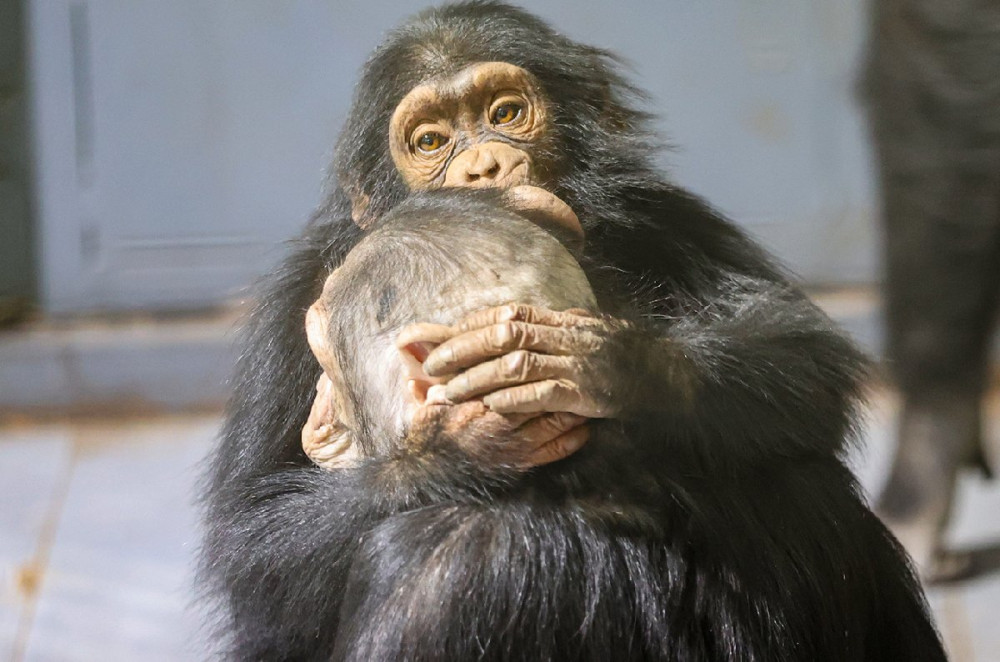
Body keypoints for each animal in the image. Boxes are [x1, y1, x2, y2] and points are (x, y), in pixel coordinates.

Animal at [201, 2, 944, 660]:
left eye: (504, 113)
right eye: (431, 141)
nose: (482, 168)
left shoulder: (668, 213)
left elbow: (798, 351)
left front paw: (611, 367)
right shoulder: (299, 296)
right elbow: (256, 547)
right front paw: (457, 446)